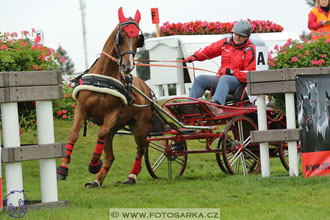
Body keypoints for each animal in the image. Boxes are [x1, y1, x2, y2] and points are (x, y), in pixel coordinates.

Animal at [56, 8, 153, 187]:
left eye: (138, 39)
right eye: (121, 36)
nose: (128, 66)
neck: (103, 79)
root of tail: (146, 88)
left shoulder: (112, 113)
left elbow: (100, 133)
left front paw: (94, 163)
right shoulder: (81, 109)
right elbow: (73, 134)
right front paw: (62, 169)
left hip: (140, 126)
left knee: (140, 149)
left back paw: (131, 176)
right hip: (117, 128)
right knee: (111, 156)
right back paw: (96, 181)